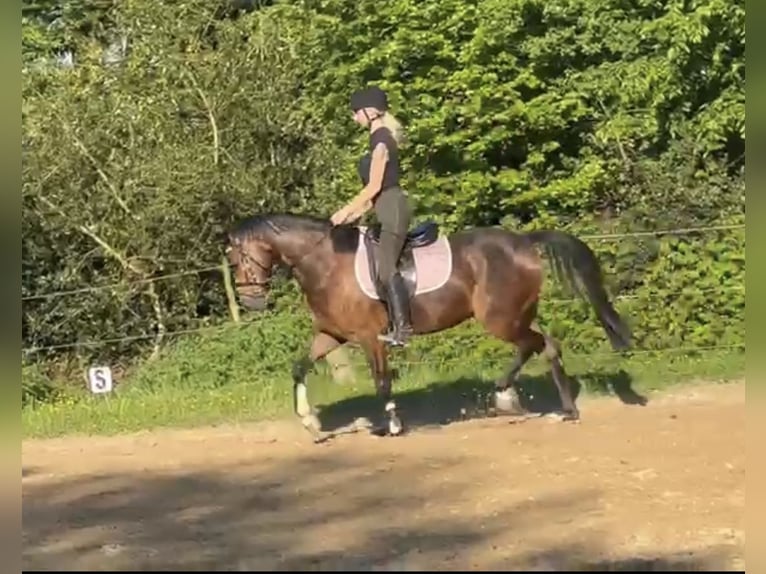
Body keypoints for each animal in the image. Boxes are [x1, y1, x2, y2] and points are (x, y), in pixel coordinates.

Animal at [225, 214, 632, 444]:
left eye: (238, 258)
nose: (251, 302)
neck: (325, 262)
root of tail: (523, 241)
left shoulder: (371, 337)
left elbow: (382, 382)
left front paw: (392, 426)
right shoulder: (332, 335)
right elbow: (298, 366)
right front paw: (311, 424)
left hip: (500, 319)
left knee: (537, 344)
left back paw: (512, 398)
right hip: (515, 315)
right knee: (545, 344)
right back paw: (558, 408)